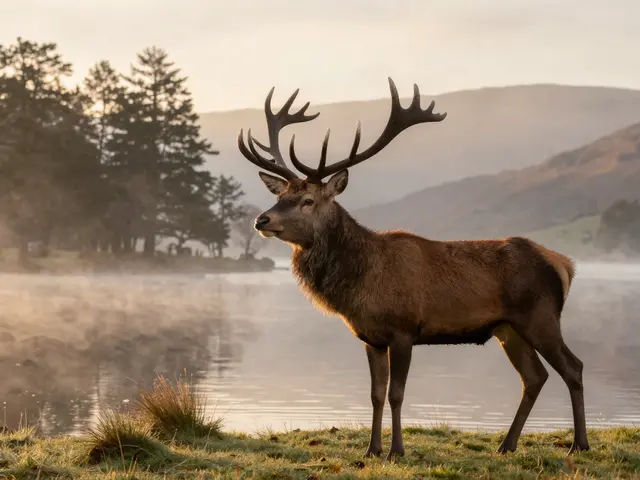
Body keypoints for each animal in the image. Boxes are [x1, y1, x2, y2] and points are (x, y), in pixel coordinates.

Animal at [236, 78, 590, 461]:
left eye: (307, 201)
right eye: (280, 195)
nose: (261, 220)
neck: (362, 283)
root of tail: (564, 264)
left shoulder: (404, 329)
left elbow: (396, 394)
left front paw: (396, 451)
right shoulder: (371, 338)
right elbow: (375, 394)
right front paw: (372, 450)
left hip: (540, 316)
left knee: (573, 367)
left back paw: (579, 444)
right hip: (507, 328)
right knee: (535, 376)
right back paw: (506, 444)